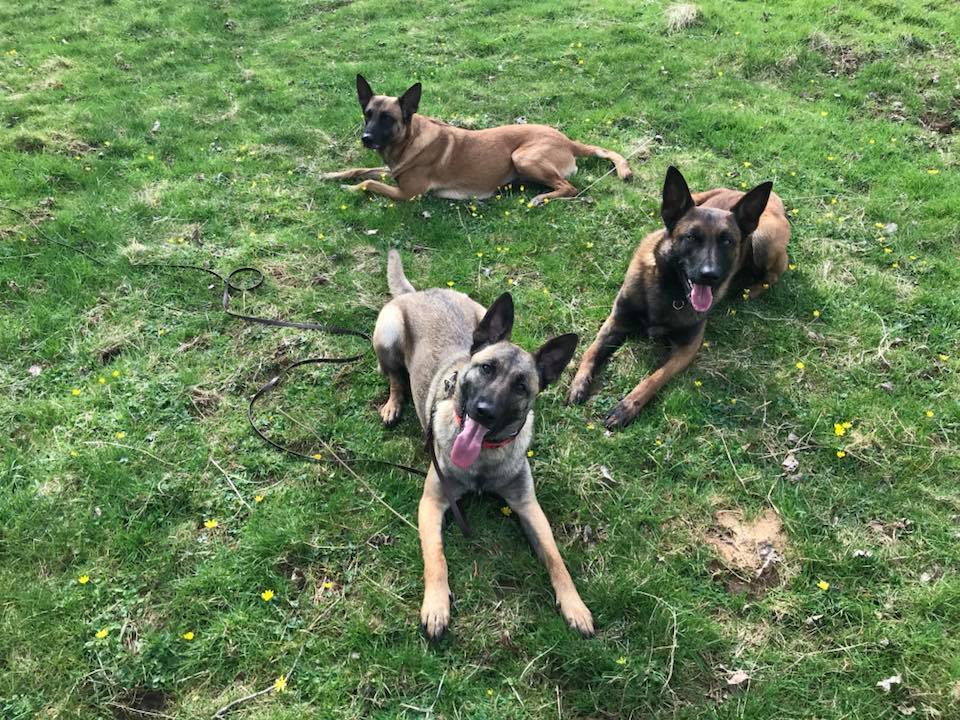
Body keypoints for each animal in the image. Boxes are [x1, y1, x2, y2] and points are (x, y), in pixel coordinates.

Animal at [319, 75, 633, 206]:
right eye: (368, 114)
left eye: (387, 118)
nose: (366, 138)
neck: (409, 140)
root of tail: (567, 141)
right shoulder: (392, 171)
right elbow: (361, 170)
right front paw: (331, 175)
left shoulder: (408, 193)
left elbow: (369, 183)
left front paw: (349, 189)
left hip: (523, 157)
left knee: (570, 188)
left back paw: (541, 198)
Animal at [373, 250, 592, 638]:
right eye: (487, 369)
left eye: (521, 386)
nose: (484, 411)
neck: (483, 460)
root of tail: (417, 293)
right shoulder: (432, 503)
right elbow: (436, 558)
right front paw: (436, 605)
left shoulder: (528, 506)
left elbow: (555, 558)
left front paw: (574, 606)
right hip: (388, 333)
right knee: (395, 378)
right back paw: (393, 405)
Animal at [568, 166, 790, 429]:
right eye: (691, 237)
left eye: (727, 241)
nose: (709, 275)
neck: (668, 291)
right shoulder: (616, 322)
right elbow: (591, 351)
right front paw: (578, 383)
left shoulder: (686, 349)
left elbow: (655, 377)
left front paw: (627, 406)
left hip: (763, 239)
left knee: (777, 271)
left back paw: (750, 291)